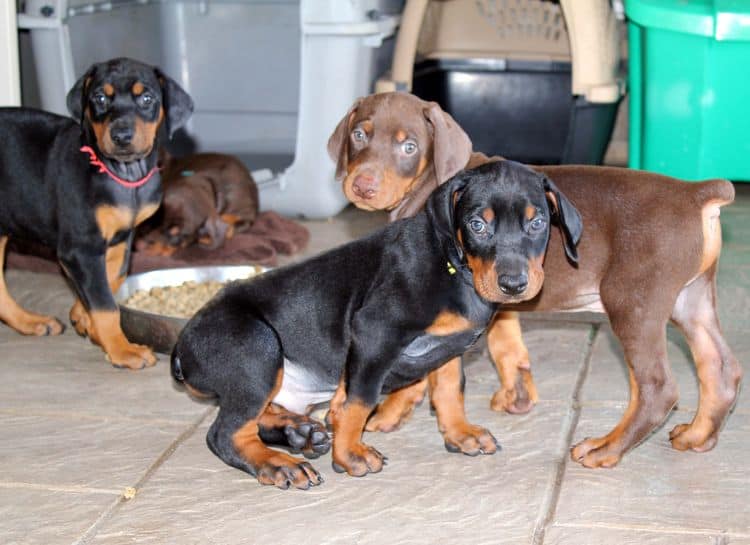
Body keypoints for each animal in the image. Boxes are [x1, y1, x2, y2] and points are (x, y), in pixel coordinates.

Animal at [0, 57, 192, 368]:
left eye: (147, 98)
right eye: (100, 98)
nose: (122, 136)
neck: (120, 174)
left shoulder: (120, 239)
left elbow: (112, 279)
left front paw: (84, 318)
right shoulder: (80, 246)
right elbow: (104, 303)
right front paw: (122, 350)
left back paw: (31, 322)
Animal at [173, 160, 584, 488]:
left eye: (537, 223)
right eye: (477, 225)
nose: (514, 285)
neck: (453, 266)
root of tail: (181, 348)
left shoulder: (450, 344)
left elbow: (450, 388)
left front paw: (459, 433)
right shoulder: (374, 331)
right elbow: (359, 400)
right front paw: (350, 455)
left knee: (258, 416)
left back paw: (299, 432)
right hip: (257, 347)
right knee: (225, 433)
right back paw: (279, 463)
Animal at [328, 91, 740, 466]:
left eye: (409, 146)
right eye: (360, 135)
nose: (362, 185)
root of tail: (695, 193)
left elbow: (425, 370)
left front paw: (389, 412)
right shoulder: (496, 291)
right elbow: (507, 345)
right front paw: (517, 397)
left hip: (633, 302)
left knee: (657, 387)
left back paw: (605, 448)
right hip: (691, 299)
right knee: (721, 368)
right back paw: (698, 435)